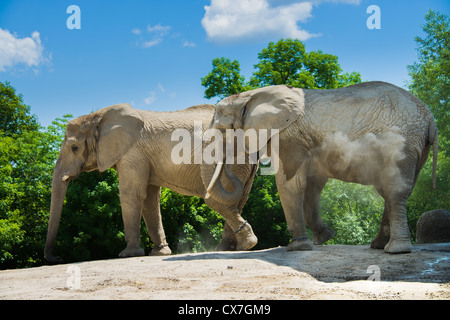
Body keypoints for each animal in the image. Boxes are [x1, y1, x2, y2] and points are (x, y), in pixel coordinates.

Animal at [44, 103, 260, 262]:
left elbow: (131, 194)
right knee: (238, 200)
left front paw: (127, 255)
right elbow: (149, 199)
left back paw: (244, 245)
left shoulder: (132, 152)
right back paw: (232, 248)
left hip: (234, 159)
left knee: (223, 199)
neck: (99, 116)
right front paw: (159, 253)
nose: (57, 258)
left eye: (74, 148)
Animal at [212, 81, 440, 254]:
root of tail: (431, 120)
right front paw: (325, 238)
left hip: (403, 143)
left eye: (220, 130)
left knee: (395, 190)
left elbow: (290, 184)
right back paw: (378, 246)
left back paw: (395, 250)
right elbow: (313, 185)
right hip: (417, 148)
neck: (249, 96)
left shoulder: (288, 136)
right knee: (394, 190)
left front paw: (297, 248)